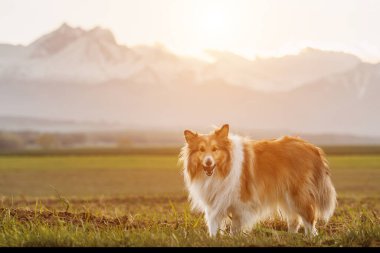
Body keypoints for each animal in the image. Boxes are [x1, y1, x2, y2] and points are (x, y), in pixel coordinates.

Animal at [180, 124, 336, 237]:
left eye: (215, 149)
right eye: (201, 150)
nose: (208, 162)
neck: (222, 170)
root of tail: (312, 147)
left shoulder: (240, 202)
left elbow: (235, 226)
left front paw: (233, 238)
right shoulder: (215, 203)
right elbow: (214, 223)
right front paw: (214, 239)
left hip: (297, 194)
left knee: (309, 216)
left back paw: (310, 237)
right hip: (286, 196)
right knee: (294, 219)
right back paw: (290, 236)